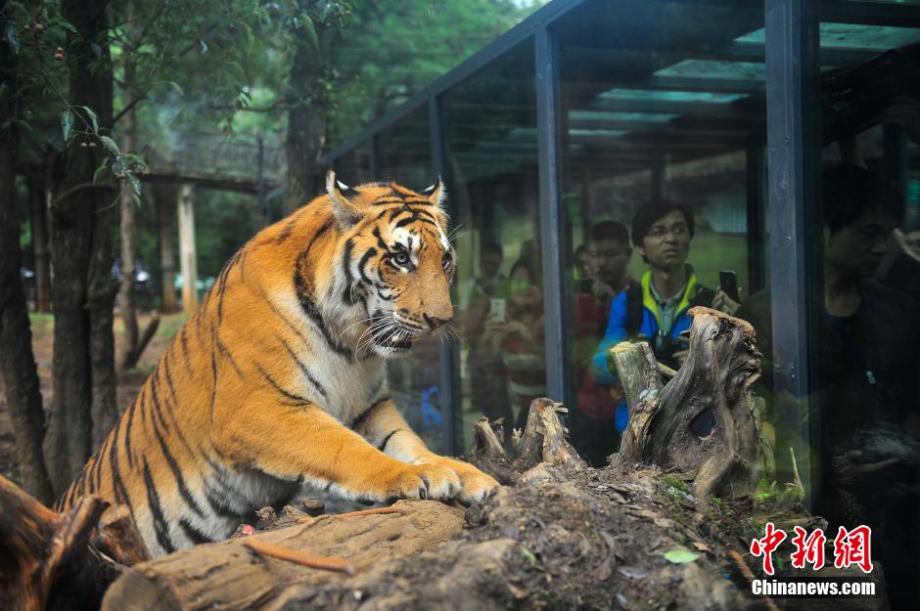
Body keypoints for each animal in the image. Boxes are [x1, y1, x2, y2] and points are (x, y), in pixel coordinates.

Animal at [57, 172, 500, 560]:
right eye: (401, 257)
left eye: (445, 260)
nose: (440, 320)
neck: (350, 346)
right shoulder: (257, 407)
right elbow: (344, 449)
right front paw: (414, 478)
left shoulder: (368, 407)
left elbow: (410, 443)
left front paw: (467, 475)